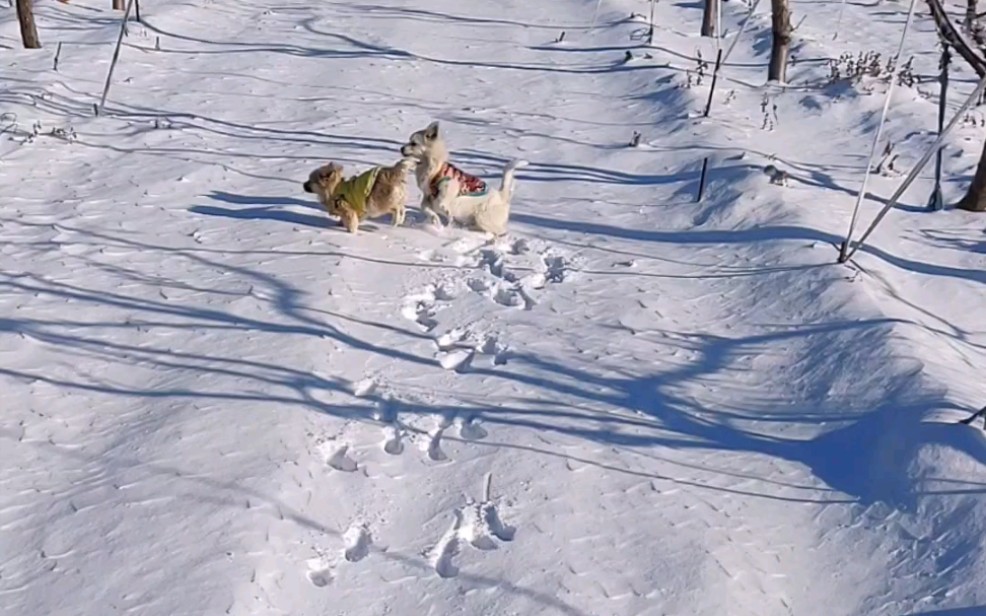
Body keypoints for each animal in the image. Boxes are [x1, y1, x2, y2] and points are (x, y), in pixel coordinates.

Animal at [398, 122, 528, 236]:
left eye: (413, 143)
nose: (401, 148)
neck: (435, 170)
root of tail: (501, 196)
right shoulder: (428, 198)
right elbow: (425, 207)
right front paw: (436, 221)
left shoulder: (443, 200)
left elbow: (442, 208)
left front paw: (447, 223)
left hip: (482, 218)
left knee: (500, 232)